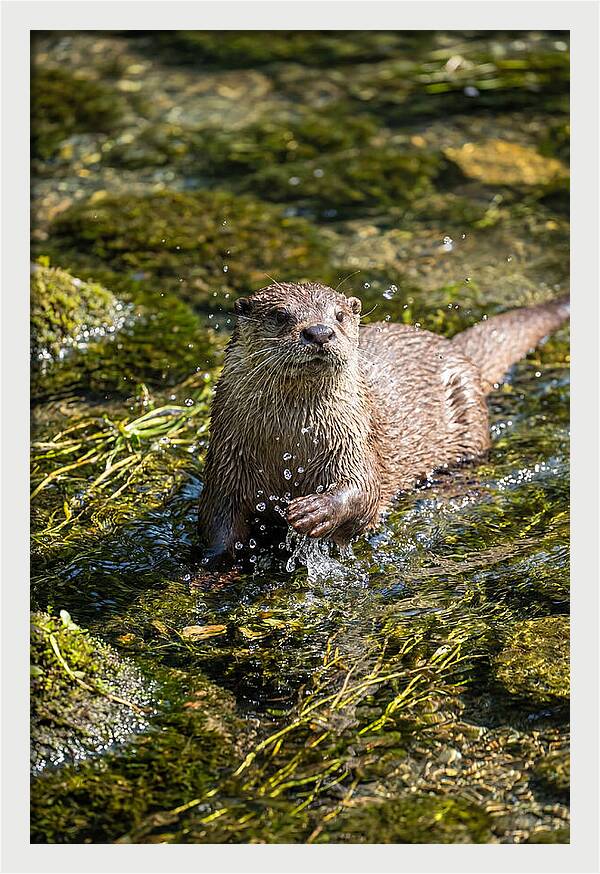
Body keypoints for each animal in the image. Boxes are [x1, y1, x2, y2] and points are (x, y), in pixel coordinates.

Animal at [197, 282, 569, 565]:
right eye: (279, 315)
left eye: (339, 315)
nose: (319, 331)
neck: (290, 445)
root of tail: (454, 348)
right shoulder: (226, 463)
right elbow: (218, 523)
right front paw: (211, 567)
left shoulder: (355, 441)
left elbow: (365, 491)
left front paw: (315, 511)